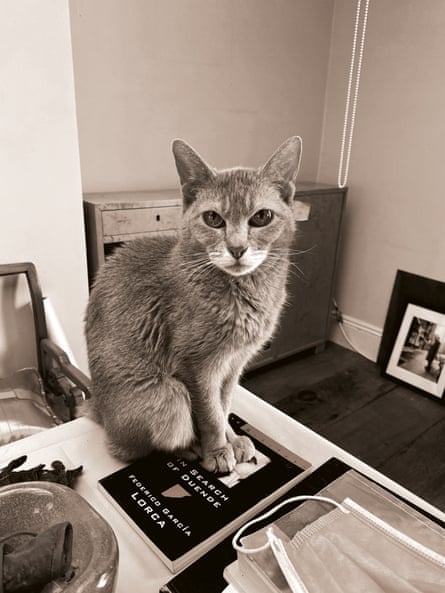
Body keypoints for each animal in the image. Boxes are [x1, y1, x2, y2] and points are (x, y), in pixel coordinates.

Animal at [84, 136, 302, 474]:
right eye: (213, 218)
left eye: (262, 217)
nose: (237, 248)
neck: (242, 293)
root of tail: (98, 410)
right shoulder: (197, 368)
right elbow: (210, 414)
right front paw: (217, 450)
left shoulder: (234, 365)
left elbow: (224, 406)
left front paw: (232, 440)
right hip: (167, 396)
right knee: (133, 449)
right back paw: (190, 447)